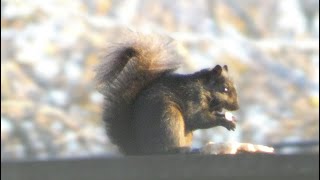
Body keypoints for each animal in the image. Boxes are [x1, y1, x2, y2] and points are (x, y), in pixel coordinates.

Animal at [94, 32, 239, 155]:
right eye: (225, 89)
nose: (236, 107)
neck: (204, 88)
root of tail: (140, 150)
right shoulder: (193, 97)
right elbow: (197, 118)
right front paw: (225, 122)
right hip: (169, 119)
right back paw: (178, 150)